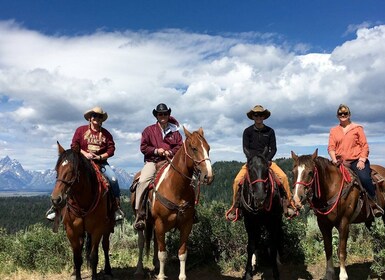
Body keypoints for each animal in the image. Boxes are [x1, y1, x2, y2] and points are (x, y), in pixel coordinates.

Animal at [48, 142, 114, 280]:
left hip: (107, 226)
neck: (84, 202)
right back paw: (74, 271)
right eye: (57, 170)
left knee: (105, 246)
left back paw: (108, 270)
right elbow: (77, 258)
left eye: (72, 170)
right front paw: (76, 273)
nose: (56, 199)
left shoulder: (97, 229)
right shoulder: (71, 231)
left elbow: (94, 257)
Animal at [130, 127, 212, 280]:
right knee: (141, 243)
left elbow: (182, 253)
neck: (176, 188)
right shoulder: (160, 223)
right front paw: (161, 276)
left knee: (156, 242)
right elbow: (163, 254)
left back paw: (156, 265)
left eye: (208, 148)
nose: (208, 176)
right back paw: (139, 270)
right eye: (194, 148)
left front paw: (181, 276)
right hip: (142, 221)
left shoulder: (186, 225)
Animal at [240, 148, 284, 278]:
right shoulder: (249, 221)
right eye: (249, 169)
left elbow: (272, 246)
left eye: (266, 169)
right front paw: (247, 273)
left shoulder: (273, 221)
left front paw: (275, 272)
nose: (260, 196)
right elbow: (250, 246)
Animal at [292, 149, 384, 280]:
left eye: (310, 172)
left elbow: (341, 250)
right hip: (369, 220)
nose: (297, 198)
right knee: (376, 239)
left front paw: (343, 275)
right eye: (293, 172)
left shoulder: (344, 223)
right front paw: (329, 273)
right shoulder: (323, 224)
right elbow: (328, 248)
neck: (332, 188)